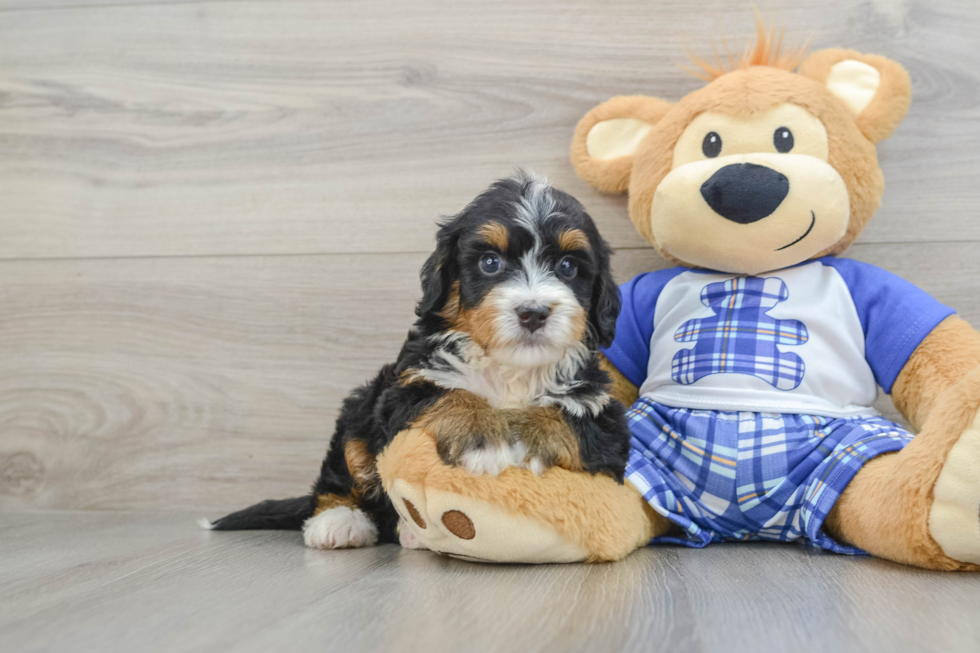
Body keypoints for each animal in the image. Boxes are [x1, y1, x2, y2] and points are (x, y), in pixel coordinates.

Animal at [208, 171, 636, 548]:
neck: (509, 369)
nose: (533, 312)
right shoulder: (406, 385)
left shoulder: (602, 409)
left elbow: (568, 416)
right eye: (490, 263)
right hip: (360, 407)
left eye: (568, 267)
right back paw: (339, 521)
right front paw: (483, 439)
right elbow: (450, 395)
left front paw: (532, 440)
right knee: (341, 472)